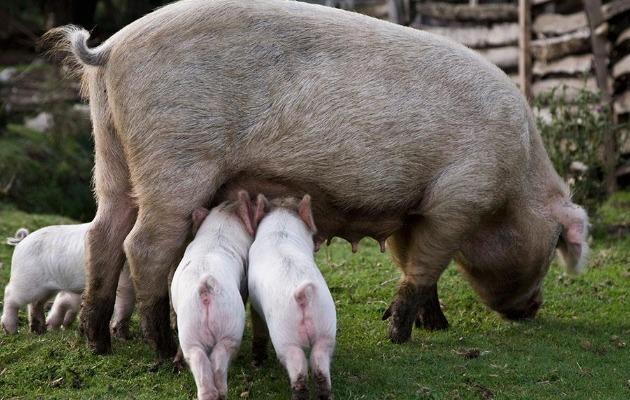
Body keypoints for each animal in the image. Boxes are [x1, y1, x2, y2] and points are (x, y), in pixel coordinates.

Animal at [47, 0, 592, 356]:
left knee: (103, 232)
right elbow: (426, 266)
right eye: (552, 246)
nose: (533, 308)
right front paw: (400, 336)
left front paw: (433, 326)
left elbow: (415, 265)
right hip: (176, 160)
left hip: (111, 152)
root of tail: (111, 49)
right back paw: (159, 350)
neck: (516, 182)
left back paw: (98, 344)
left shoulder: (412, 208)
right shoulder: (459, 197)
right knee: (142, 246)